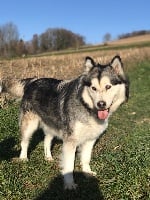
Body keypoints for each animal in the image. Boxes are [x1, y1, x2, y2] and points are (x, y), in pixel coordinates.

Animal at [0, 55, 129, 189]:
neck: (87, 107)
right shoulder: (70, 141)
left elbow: (86, 158)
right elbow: (69, 165)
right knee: (24, 142)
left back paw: (48, 157)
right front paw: (69, 184)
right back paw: (23, 158)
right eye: (93, 88)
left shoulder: (90, 139)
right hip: (30, 124)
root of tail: (32, 80)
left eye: (108, 86)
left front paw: (87, 172)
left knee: (47, 140)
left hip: (52, 123)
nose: (101, 104)